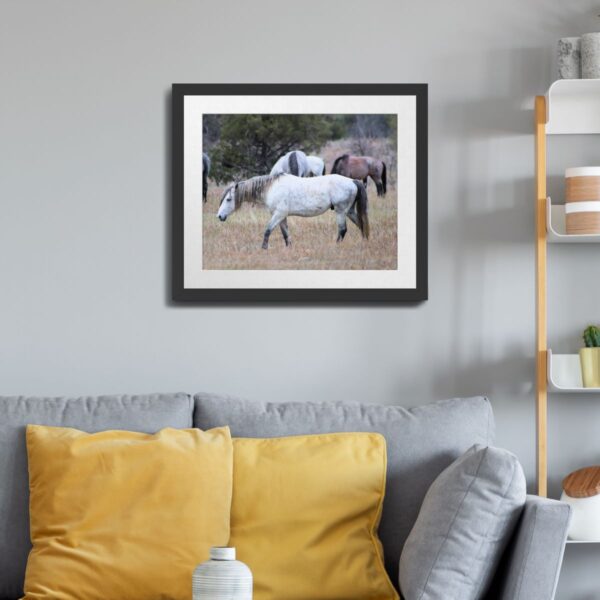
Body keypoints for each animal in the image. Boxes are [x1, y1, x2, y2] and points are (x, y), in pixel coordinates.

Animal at [218, 173, 368, 248]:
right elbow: (285, 234)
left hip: (340, 211)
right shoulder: (282, 216)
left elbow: (267, 230)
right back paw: (364, 242)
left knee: (342, 230)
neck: (271, 188)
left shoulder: (279, 214)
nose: (219, 216)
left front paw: (264, 248)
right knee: (361, 224)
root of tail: (353, 181)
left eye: (228, 199)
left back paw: (335, 246)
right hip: (349, 211)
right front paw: (289, 248)